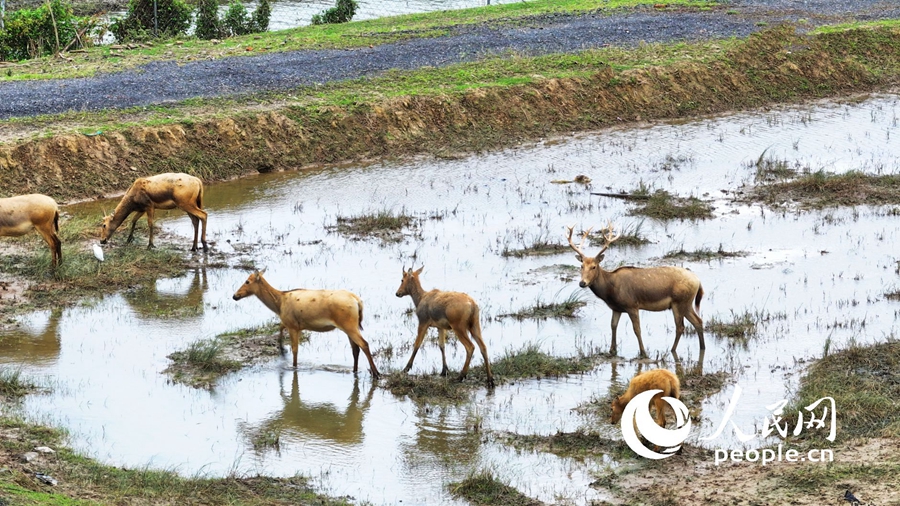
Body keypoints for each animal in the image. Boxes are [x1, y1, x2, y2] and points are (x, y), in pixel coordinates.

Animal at [234, 270, 378, 378]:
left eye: (247, 281)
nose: (235, 296)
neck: (279, 303)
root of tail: (358, 301)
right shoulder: (293, 323)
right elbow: (280, 327)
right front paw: (281, 349)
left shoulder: (293, 326)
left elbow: (295, 350)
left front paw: (292, 364)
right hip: (350, 326)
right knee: (355, 349)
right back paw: (355, 370)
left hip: (349, 324)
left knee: (364, 344)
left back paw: (375, 372)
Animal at [568, 223, 708, 358]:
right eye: (581, 266)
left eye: (594, 266)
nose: (582, 283)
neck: (610, 290)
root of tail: (698, 281)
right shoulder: (616, 308)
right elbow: (613, 326)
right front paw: (612, 350)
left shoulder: (632, 305)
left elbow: (637, 329)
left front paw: (643, 352)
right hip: (687, 303)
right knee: (698, 321)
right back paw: (702, 347)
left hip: (679, 302)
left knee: (680, 327)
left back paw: (672, 350)